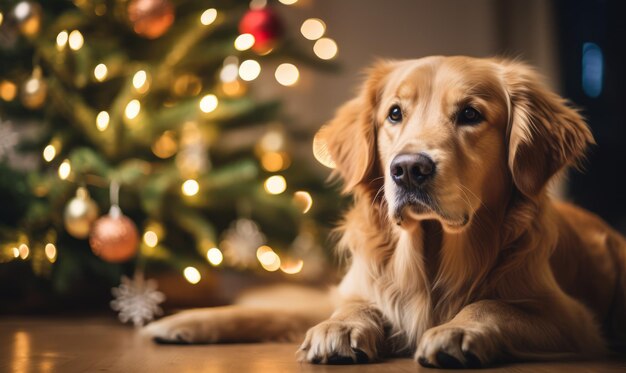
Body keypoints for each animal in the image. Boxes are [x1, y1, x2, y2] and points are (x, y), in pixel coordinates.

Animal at [145, 56, 624, 366]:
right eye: (394, 113)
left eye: (470, 114)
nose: (409, 169)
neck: (429, 257)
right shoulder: (353, 288)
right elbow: (330, 307)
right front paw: (341, 327)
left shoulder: (573, 320)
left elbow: (494, 306)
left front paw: (458, 330)